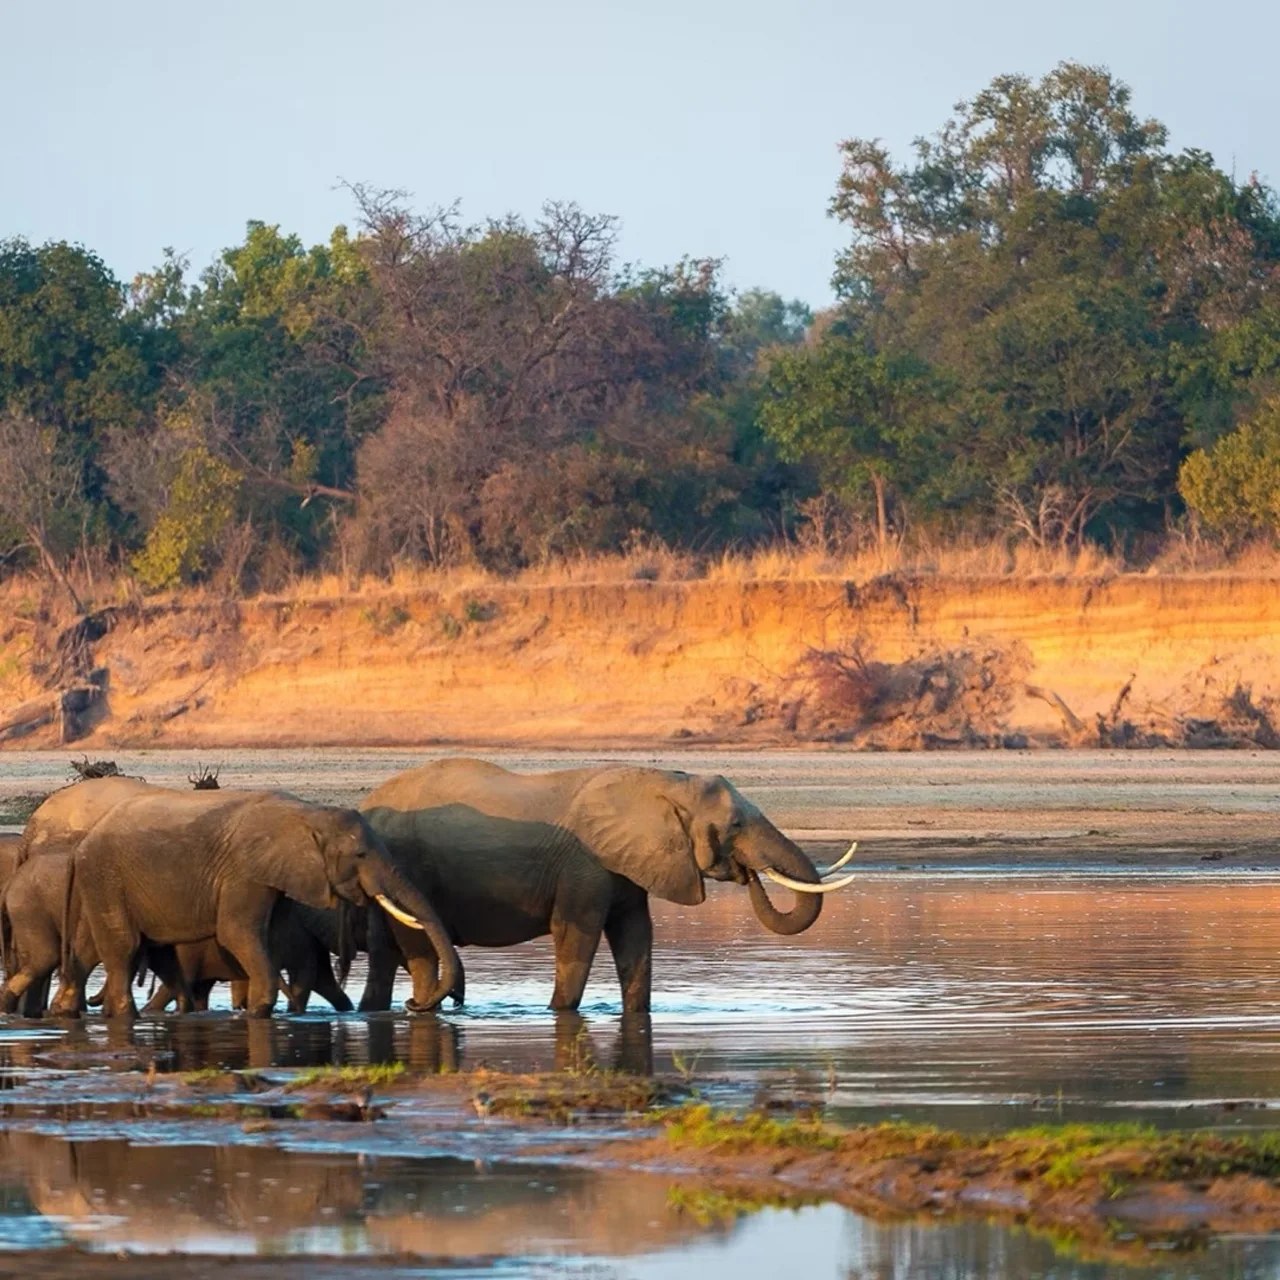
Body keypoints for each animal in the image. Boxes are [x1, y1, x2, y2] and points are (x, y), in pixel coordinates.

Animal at [66, 788, 460, 1018]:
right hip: (104, 876)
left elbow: (274, 937)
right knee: (123, 947)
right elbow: (236, 932)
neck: (308, 814)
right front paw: (259, 1011)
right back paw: (125, 1015)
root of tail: (86, 839)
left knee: (138, 950)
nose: (412, 1005)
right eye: (360, 854)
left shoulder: (281, 875)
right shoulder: (245, 871)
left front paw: (263, 1009)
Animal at [358, 759, 855, 1014]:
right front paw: (560, 1014)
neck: (665, 784)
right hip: (405, 862)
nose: (748, 873)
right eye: (735, 825)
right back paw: (419, 1006)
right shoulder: (586, 864)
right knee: (417, 952)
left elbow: (636, 936)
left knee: (385, 954)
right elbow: (576, 935)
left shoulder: (629, 862)